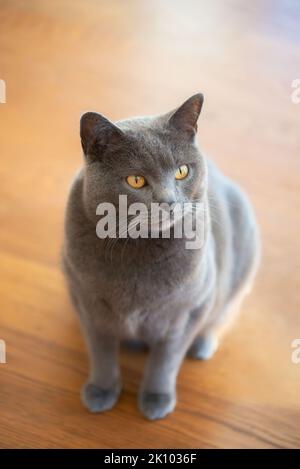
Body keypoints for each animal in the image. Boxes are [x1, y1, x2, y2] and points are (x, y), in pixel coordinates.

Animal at [62, 93, 260, 418]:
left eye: (182, 171)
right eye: (136, 180)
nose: (168, 202)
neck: (139, 246)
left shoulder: (189, 310)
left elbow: (165, 360)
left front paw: (156, 399)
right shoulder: (86, 302)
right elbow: (101, 351)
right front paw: (101, 390)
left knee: (223, 313)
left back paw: (202, 345)